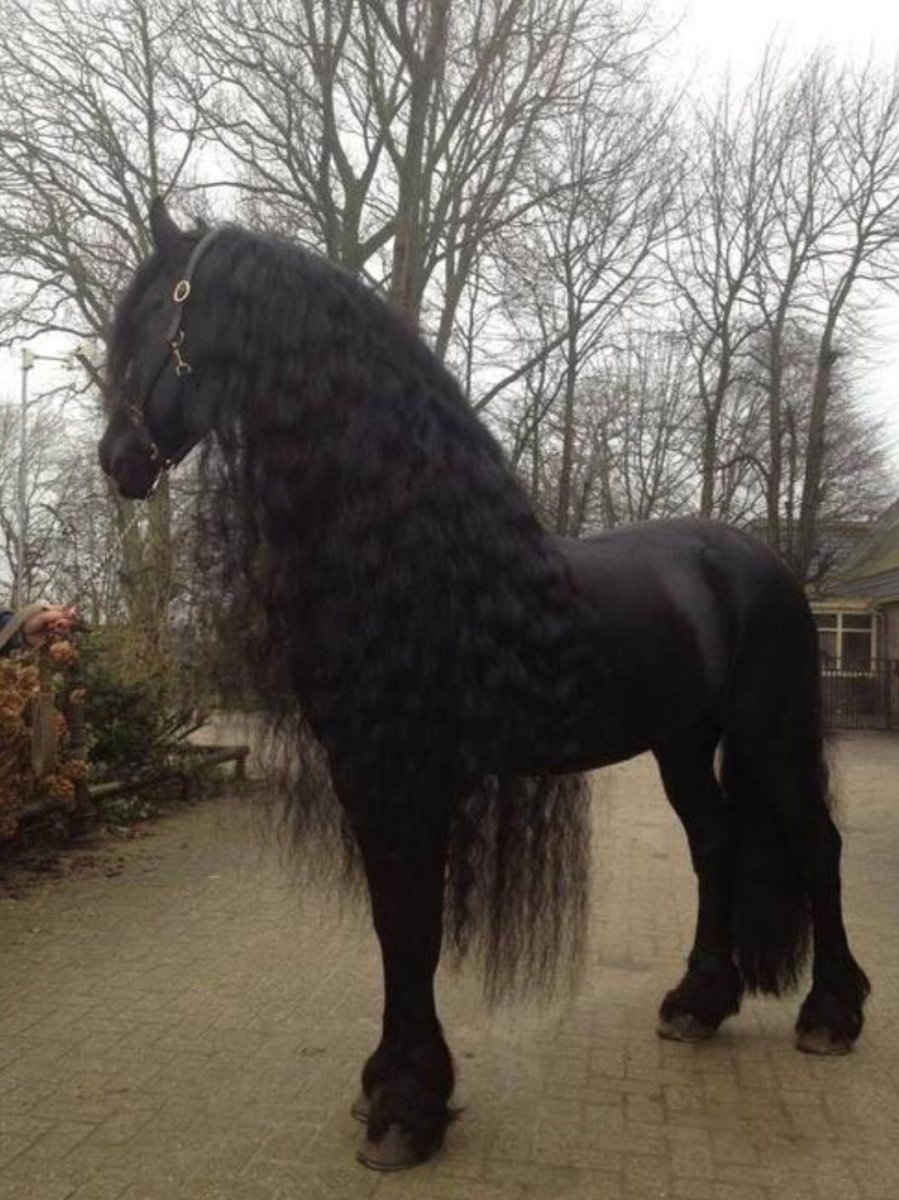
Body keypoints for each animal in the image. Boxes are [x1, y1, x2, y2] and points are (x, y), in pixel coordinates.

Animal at [98, 198, 870, 1171]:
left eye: (159, 319)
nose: (117, 460)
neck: (416, 555)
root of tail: (756, 561)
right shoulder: (364, 769)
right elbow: (394, 920)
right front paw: (391, 1085)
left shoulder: (418, 770)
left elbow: (415, 922)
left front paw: (407, 1106)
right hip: (683, 746)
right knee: (714, 846)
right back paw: (697, 1002)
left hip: (772, 731)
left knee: (816, 846)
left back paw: (830, 1016)